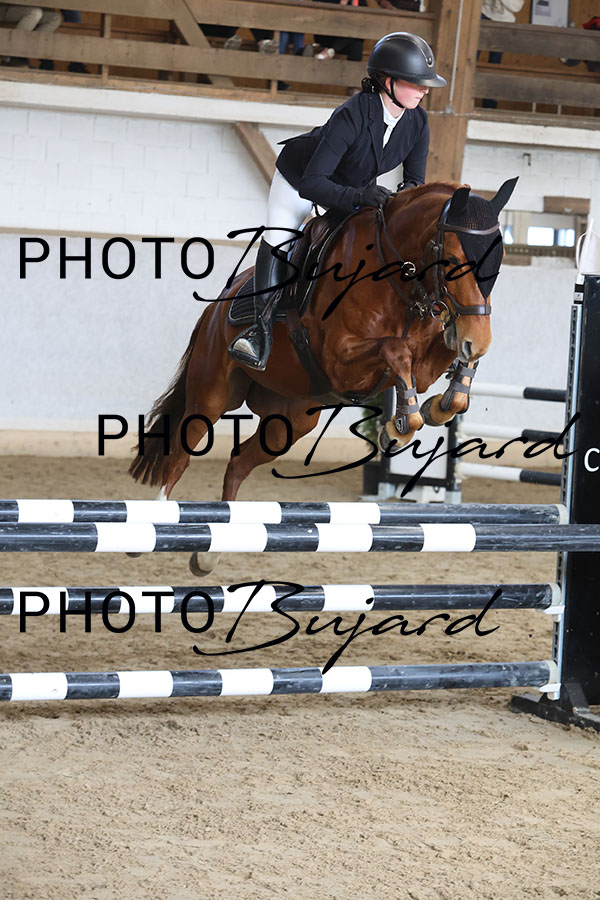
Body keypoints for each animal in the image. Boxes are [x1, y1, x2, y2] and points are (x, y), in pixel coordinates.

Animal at [129, 178, 517, 574]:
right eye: (452, 261)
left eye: (498, 261)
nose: (477, 339)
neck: (394, 278)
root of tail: (215, 308)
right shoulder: (341, 361)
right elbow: (397, 351)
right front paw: (400, 426)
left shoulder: (421, 366)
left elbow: (432, 363)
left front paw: (439, 404)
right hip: (210, 395)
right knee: (179, 456)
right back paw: (155, 528)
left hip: (290, 422)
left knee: (238, 464)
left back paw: (211, 554)